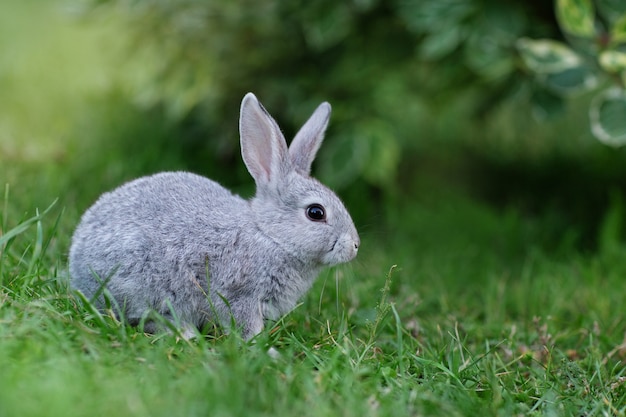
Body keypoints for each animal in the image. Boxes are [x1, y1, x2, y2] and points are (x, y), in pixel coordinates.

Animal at [67, 92, 360, 340]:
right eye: (316, 212)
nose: (355, 245)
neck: (270, 236)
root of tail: (76, 263)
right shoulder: (240, 294)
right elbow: (245, 324)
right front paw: (261, 348)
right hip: (141, 281)